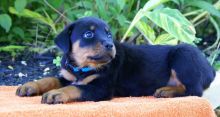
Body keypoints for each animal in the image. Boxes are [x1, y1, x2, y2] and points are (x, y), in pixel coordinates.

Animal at [15, 16, 215, 104]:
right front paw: (30, 85)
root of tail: (211, 68)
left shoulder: (101, 88)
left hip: (184, 53)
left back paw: (166, 91)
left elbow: (75, 88)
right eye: (89, 34)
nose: (110, 45)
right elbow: (50, 79)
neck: (82, 67)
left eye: (108, 34)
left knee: (194, 90)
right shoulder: (68, 76)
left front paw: (56, 93)